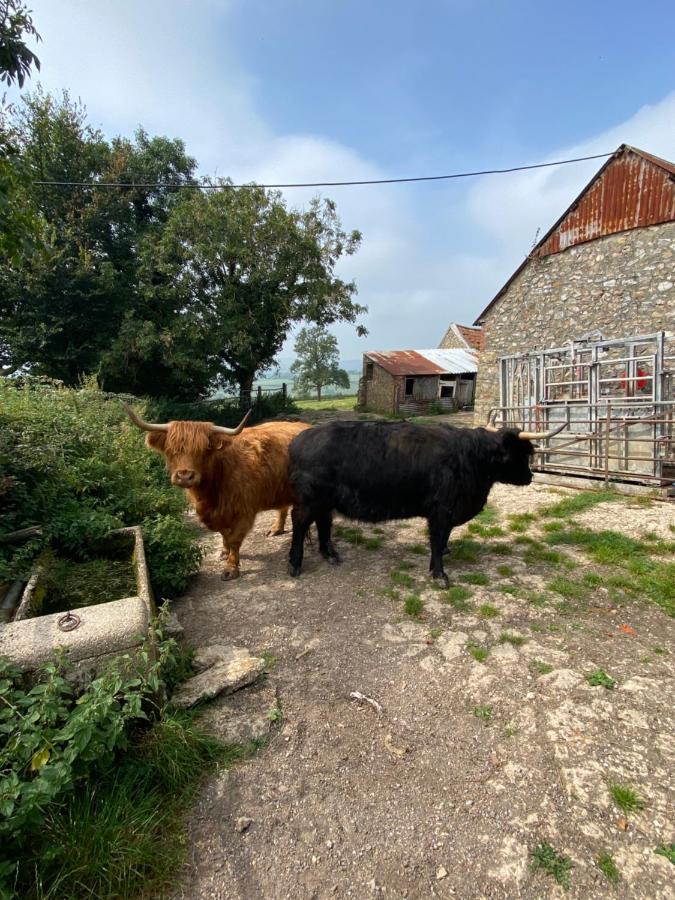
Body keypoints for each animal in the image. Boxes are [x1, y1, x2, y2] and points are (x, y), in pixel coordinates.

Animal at [286, 420, 564, 588]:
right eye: (523, 452)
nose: (530, 477)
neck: (470, 458)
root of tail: (300, 438)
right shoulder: (441, 510)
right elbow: (438, 540)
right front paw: (440, 575)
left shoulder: (446, 512)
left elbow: (441, 541)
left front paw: (437, 565)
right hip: (310, 500)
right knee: (299, 524)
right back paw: (295, 564)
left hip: (324, 501)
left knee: (323, 522)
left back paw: (330, 554)